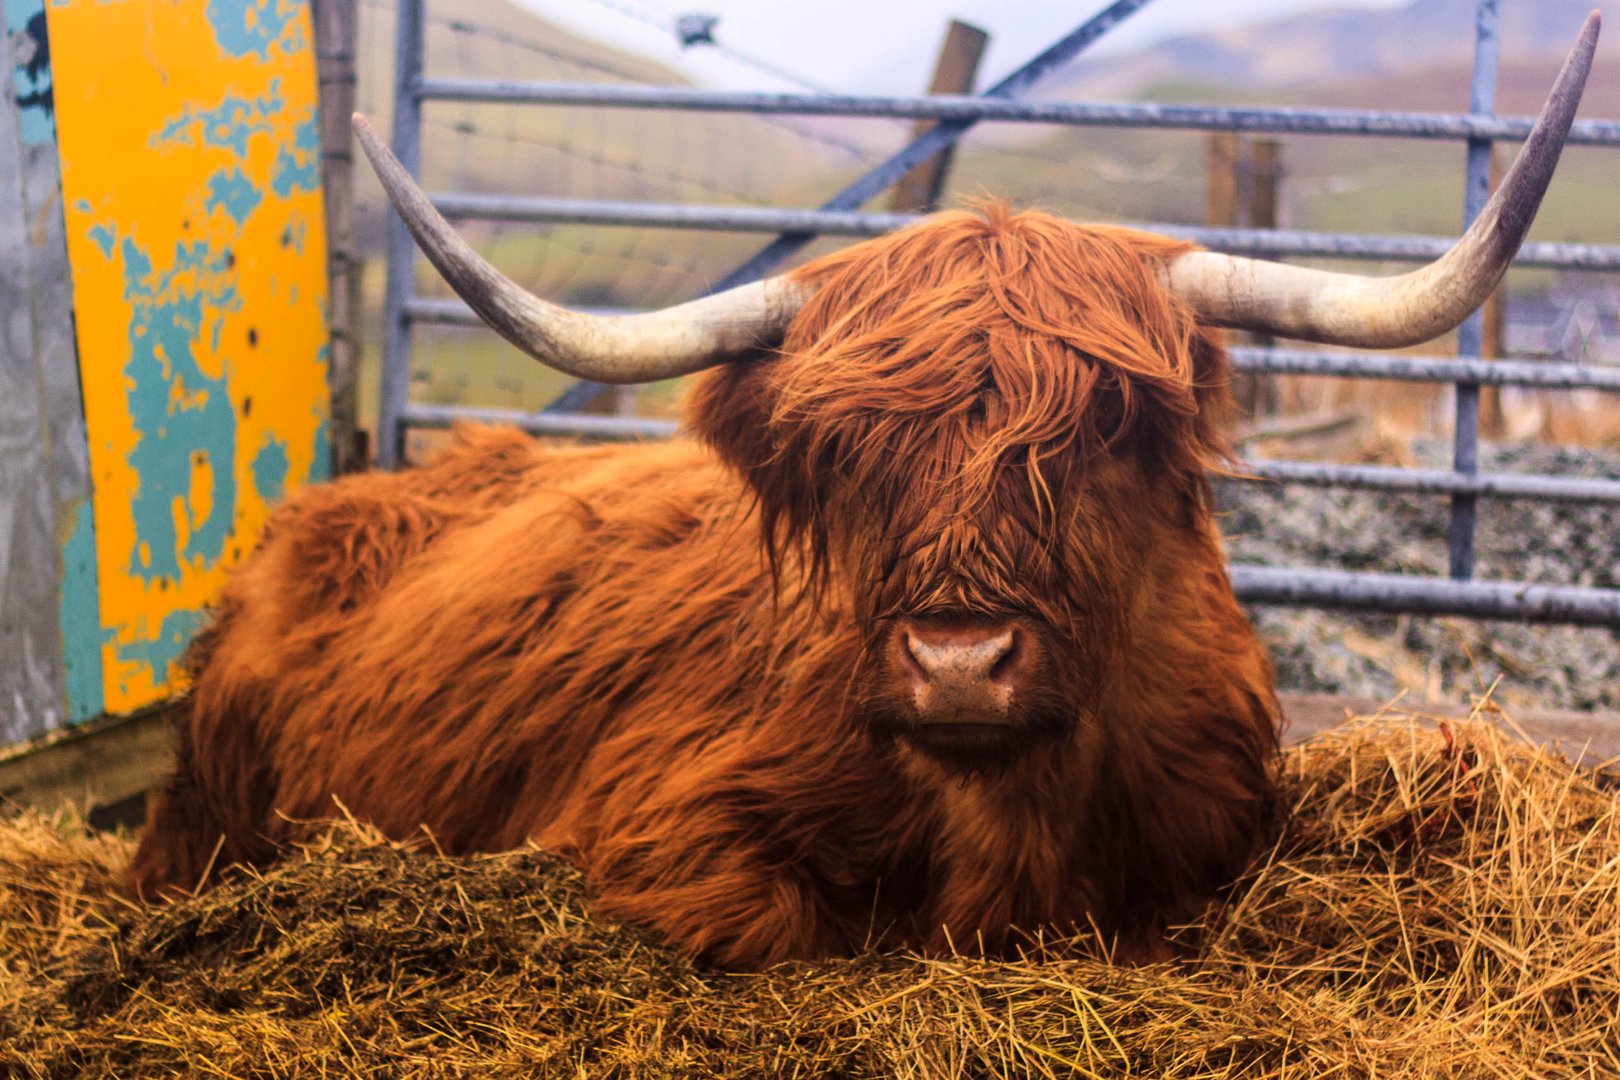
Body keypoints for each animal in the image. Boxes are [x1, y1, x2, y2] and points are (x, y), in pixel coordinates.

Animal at [126, 23, 1594, 971]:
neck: (1012, 805)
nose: (958, 661)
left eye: (1107, 429)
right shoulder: (654, 825)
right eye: (844, 453)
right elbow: (784, 929)